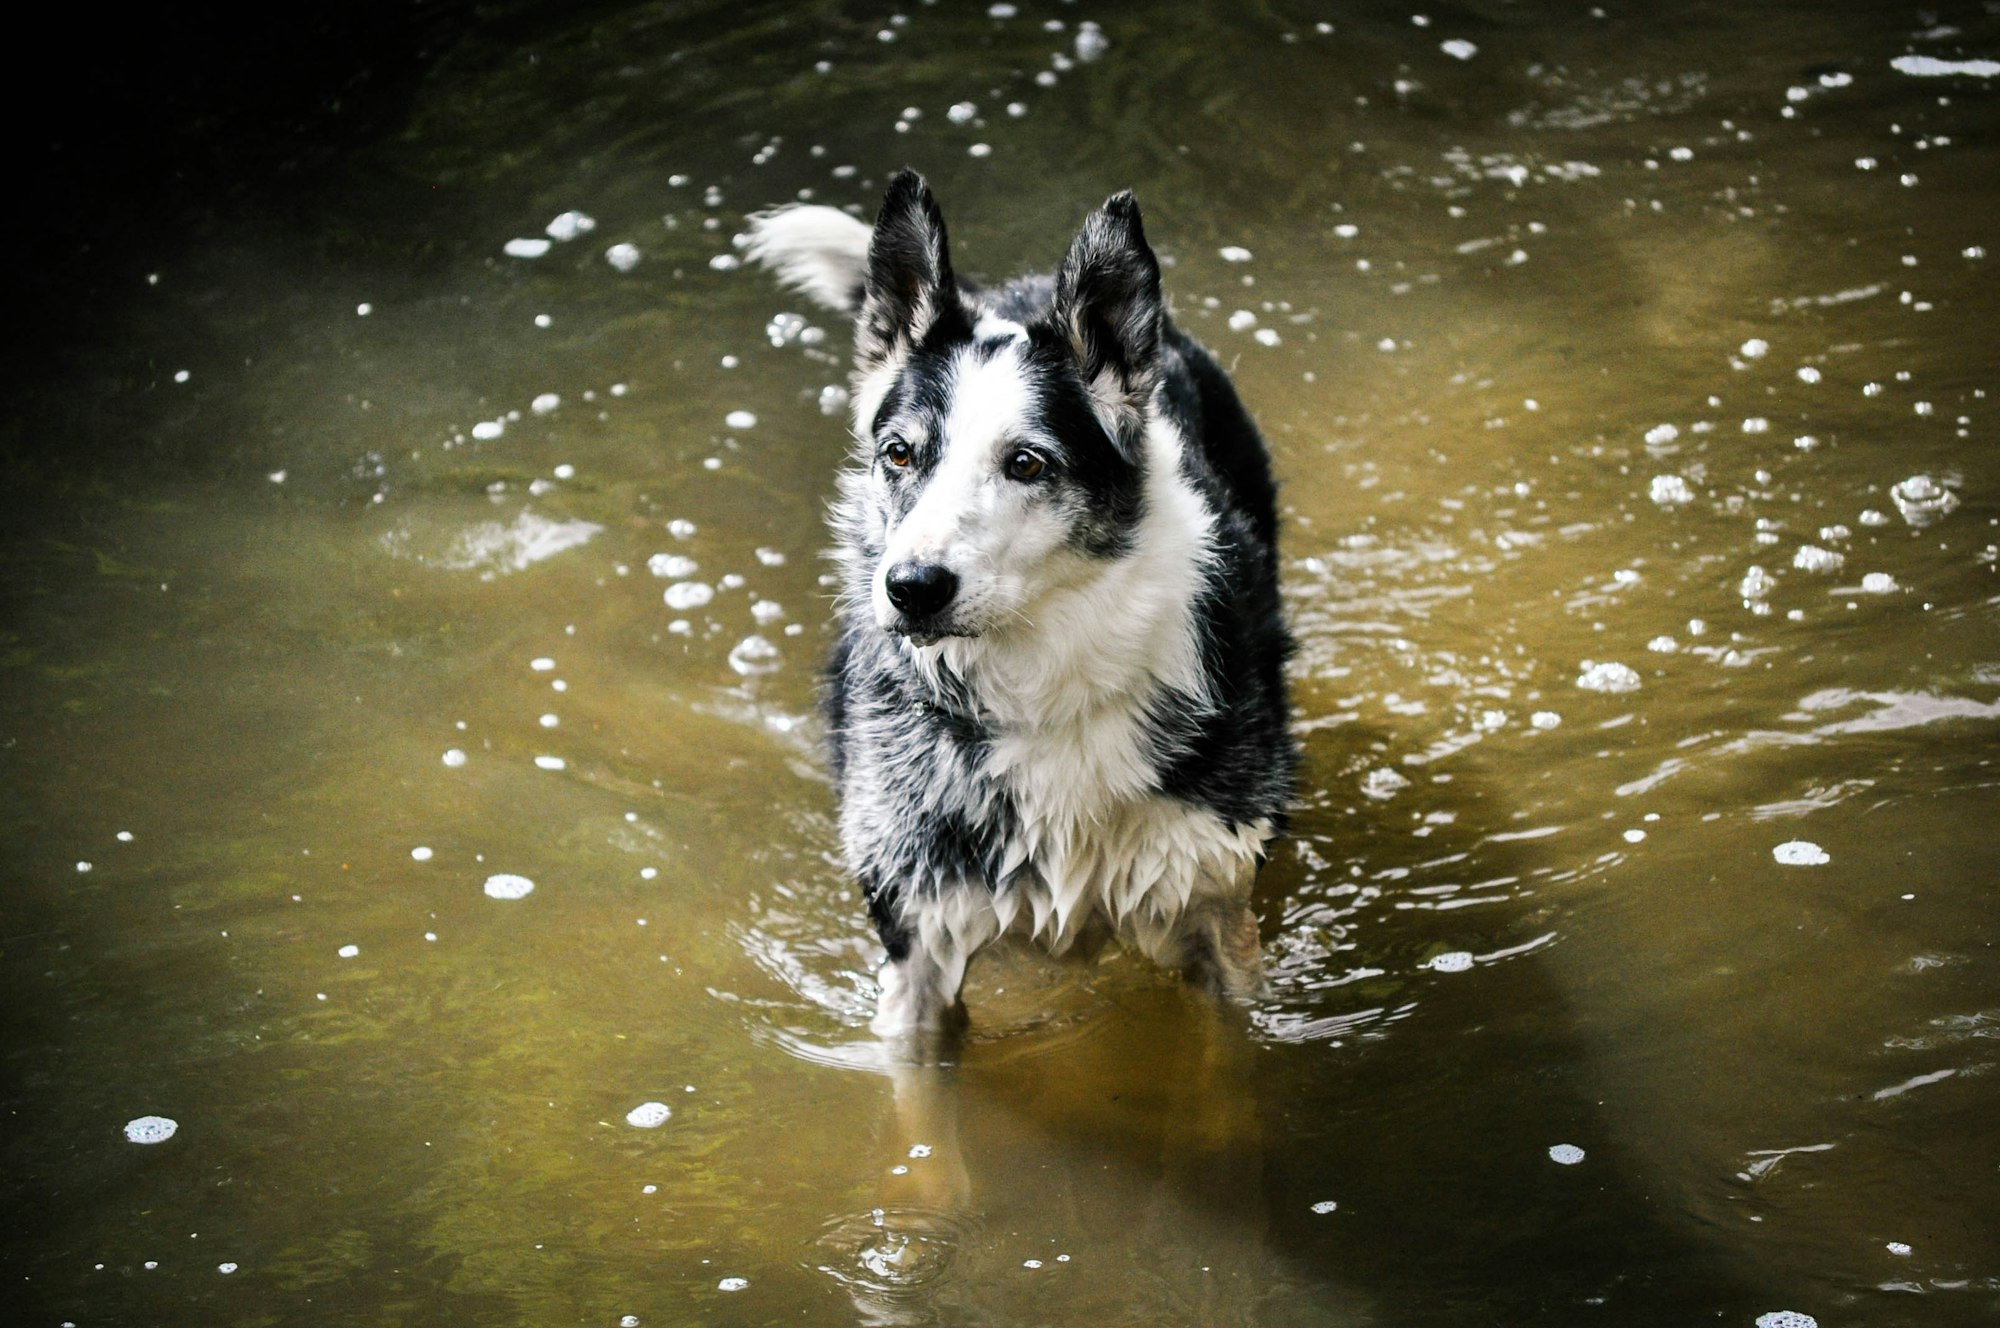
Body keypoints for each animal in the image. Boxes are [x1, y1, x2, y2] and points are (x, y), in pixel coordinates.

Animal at [744, 171, 1288, 1040]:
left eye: (1027, 464)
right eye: (900, 454)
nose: (912, 588)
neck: (1036, 685)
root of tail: (1014, 289)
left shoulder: (1215, 911)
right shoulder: (918, 945)